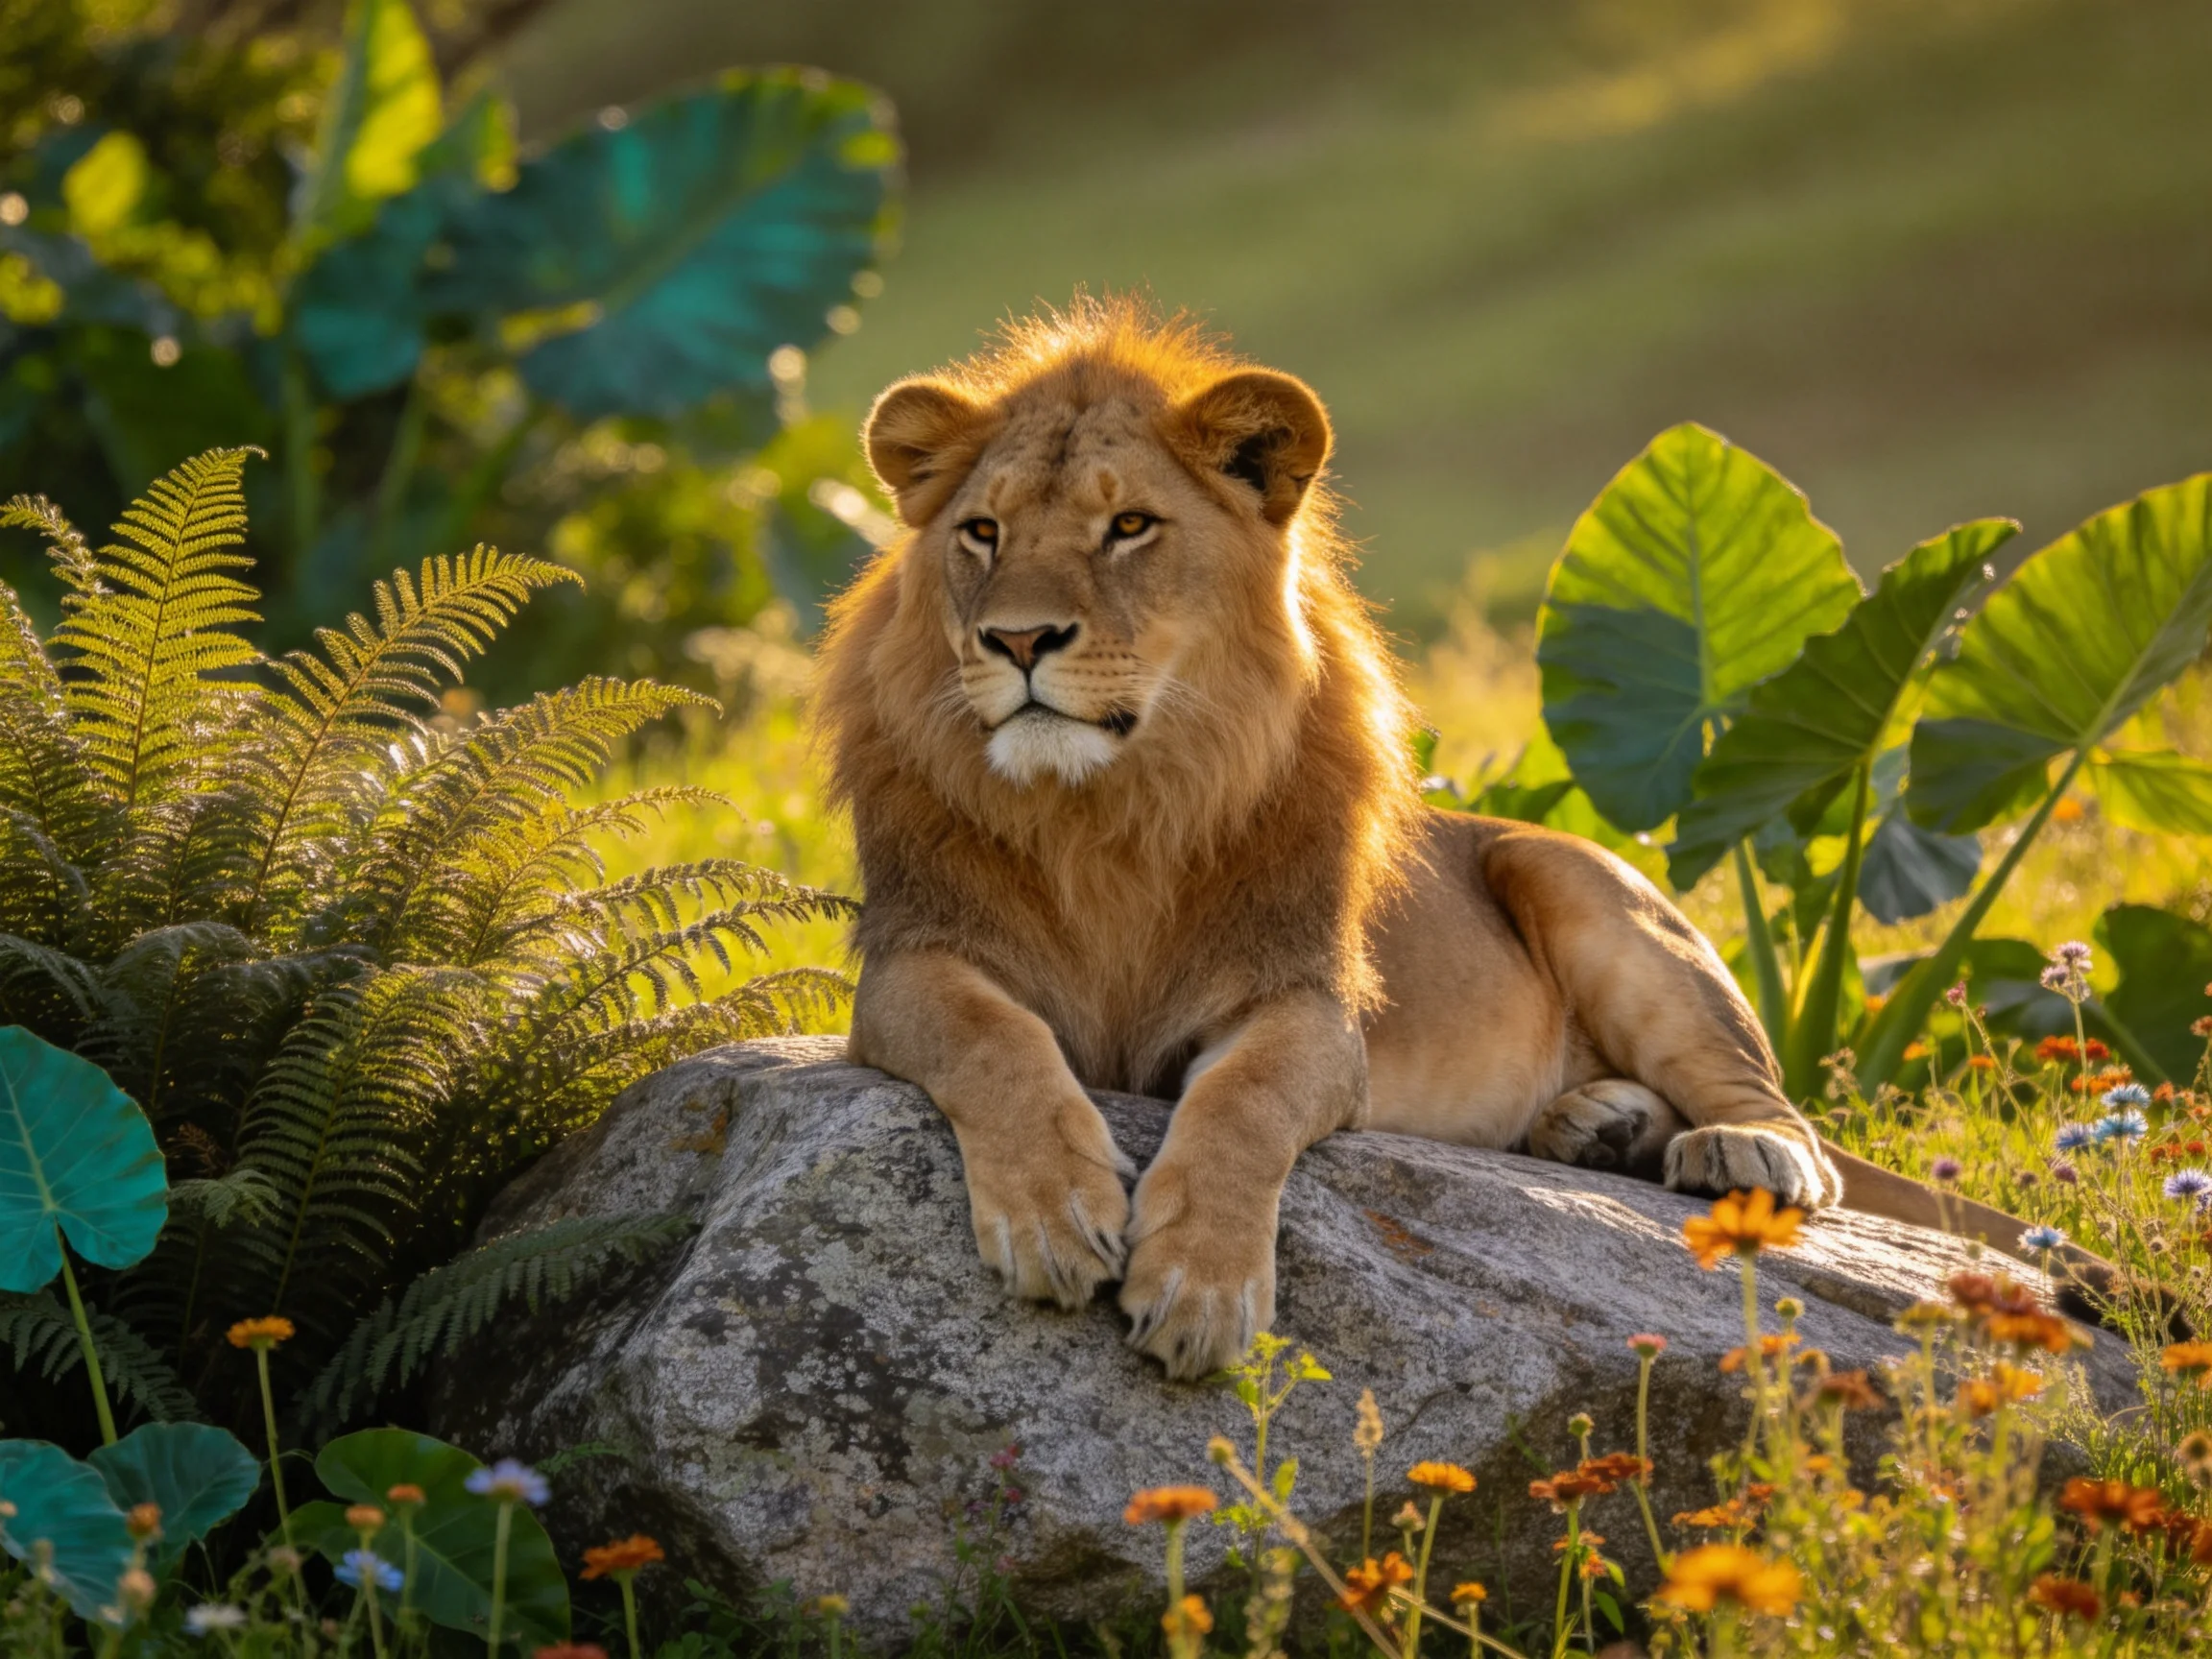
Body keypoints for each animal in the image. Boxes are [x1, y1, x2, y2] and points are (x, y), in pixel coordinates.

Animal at [816, 297, 2084, 1380]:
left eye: (1129, 526)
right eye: (982, 532)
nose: (1018, 640)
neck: (1106, 808)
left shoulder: (1307, 1007)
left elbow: (1242, 1106)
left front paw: (1197, 1285)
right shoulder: (912, 963)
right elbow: (995, 1040)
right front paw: (1054, 1211)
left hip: (1582, 881)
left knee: (1790, 1120)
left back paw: (1731, 1149)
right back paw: (1597, 1126)